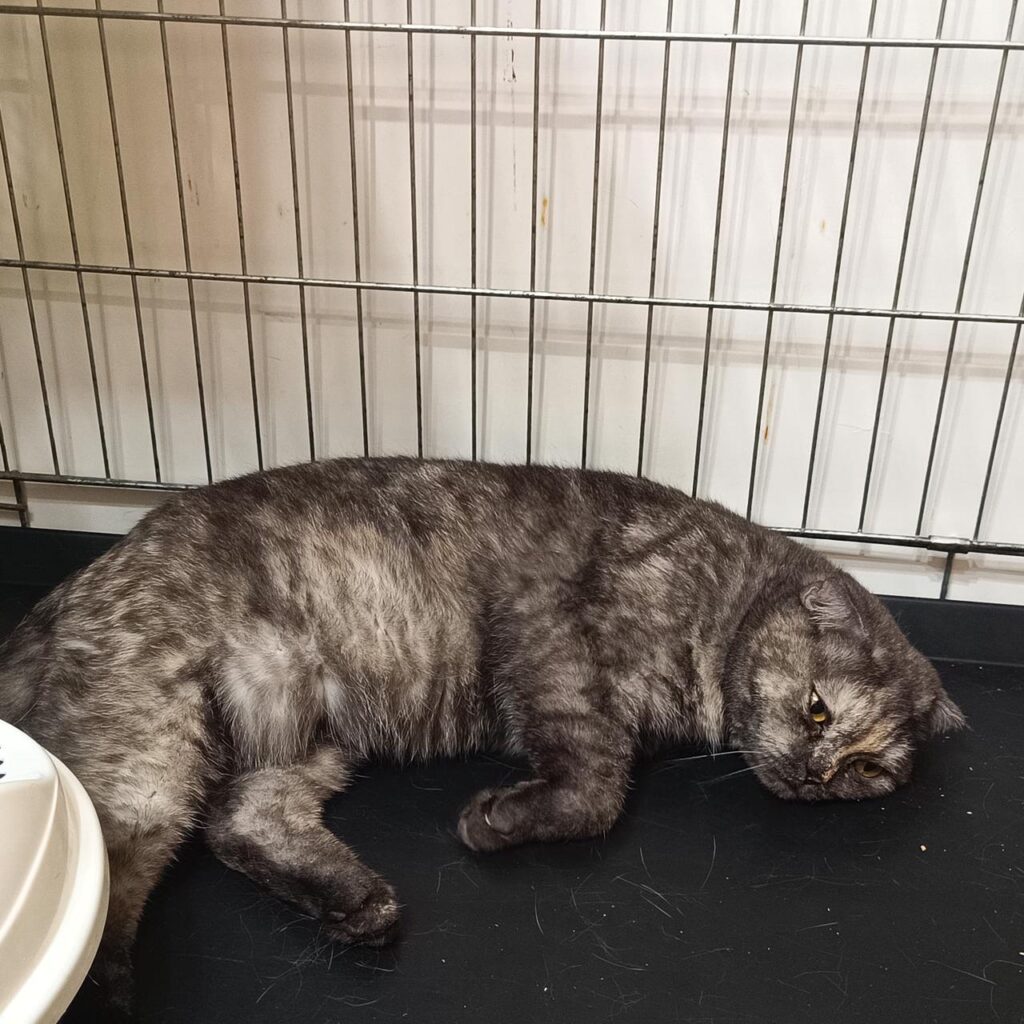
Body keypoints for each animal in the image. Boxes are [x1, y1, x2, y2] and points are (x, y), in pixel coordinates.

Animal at [0, 457, 963, 1016]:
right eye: (818, 711)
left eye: (868, 769)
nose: (816, 774)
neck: (723, 595)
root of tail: (75, 582)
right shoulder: (552, 641)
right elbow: (600, 786)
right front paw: (500, 821)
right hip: (150, 751)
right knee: (119, 856)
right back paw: (107, 985)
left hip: (307, 736)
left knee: (242, 825)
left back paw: (355, 904)